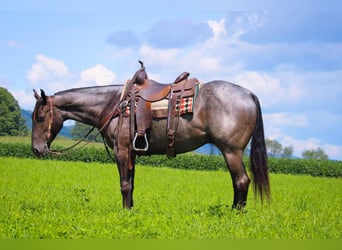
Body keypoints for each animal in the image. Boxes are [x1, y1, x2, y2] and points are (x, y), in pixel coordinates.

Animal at [31, 67, 270, 210]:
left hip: (231, 151)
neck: (114, 105)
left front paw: (124, 212)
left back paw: (235, 213)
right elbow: (131, 184)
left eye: (41, 116)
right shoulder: (132, 153)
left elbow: (124, 184)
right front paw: (130, 209)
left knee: (241, 181)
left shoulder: (122, 150)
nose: (36, 149)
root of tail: (249, 94)